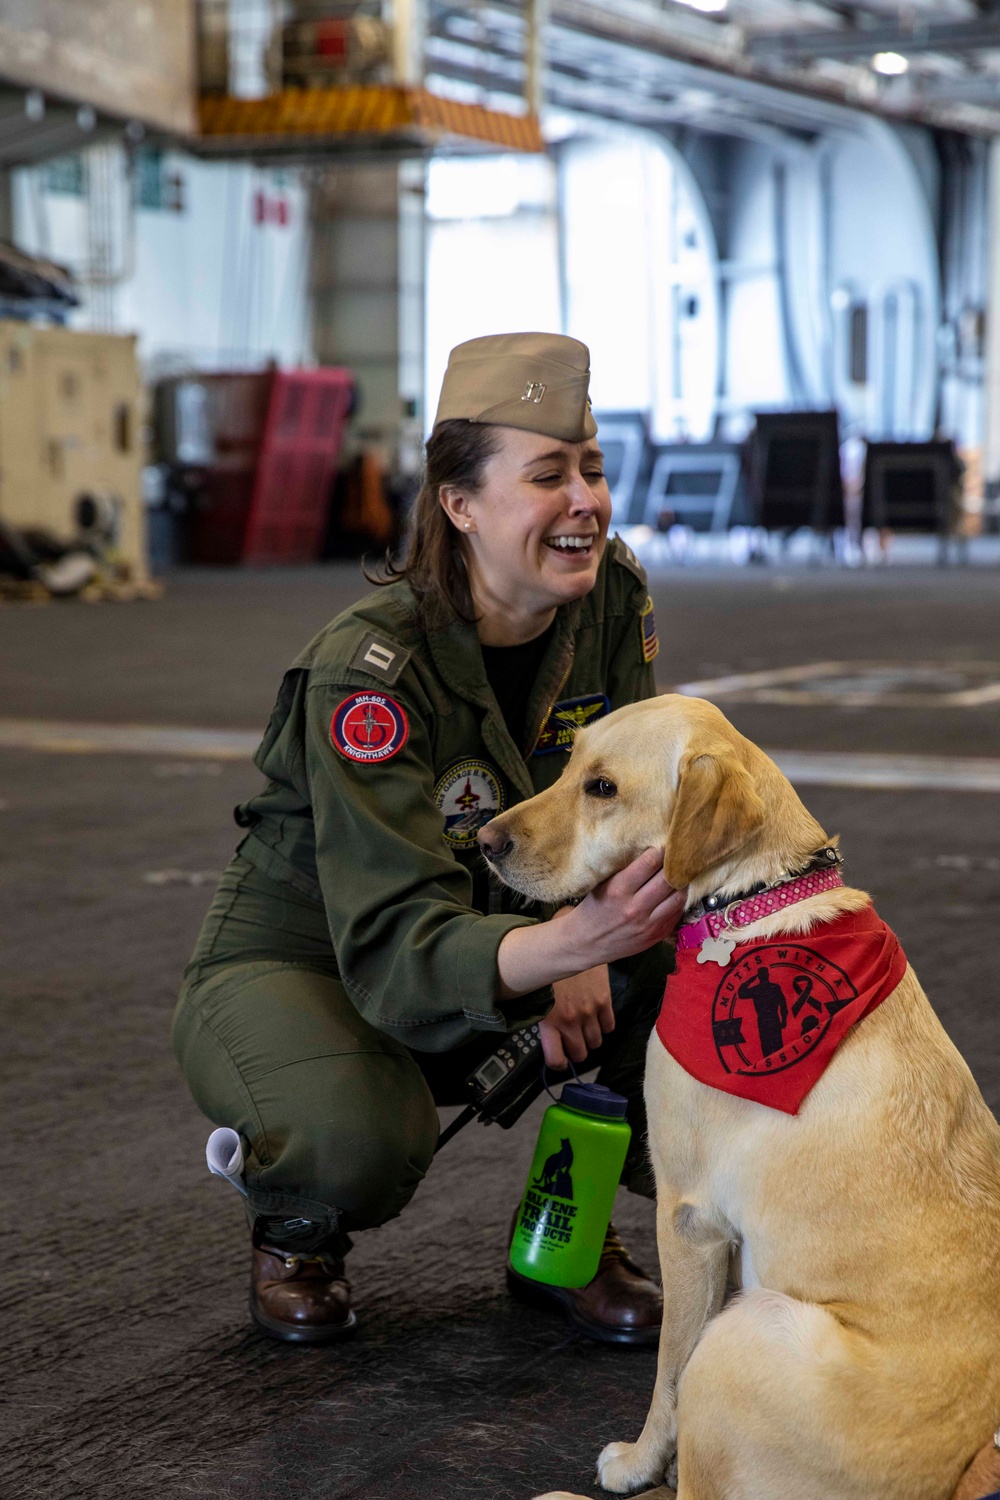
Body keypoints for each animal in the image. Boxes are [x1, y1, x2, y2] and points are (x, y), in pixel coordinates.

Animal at [479, 693, 1000, 1500]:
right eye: (568, 765)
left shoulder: (689, 1218)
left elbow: (666, 1375)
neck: (751, 902)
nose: (484, 841)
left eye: (602, 788)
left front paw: (637, 1462)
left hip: (746, 1332)